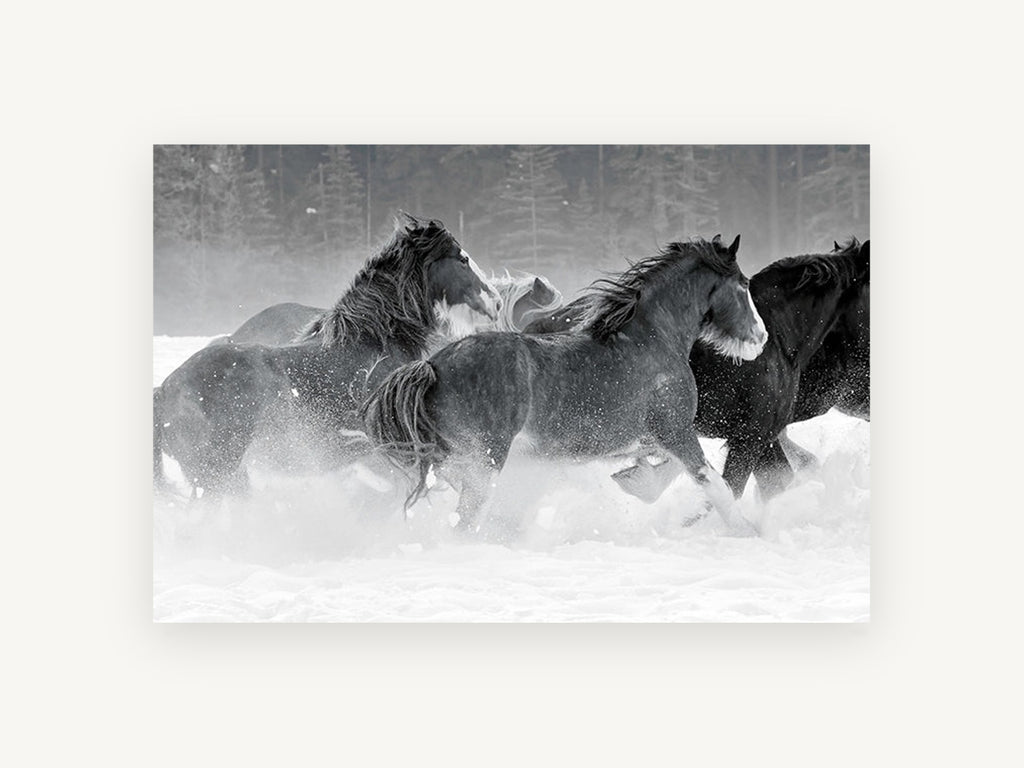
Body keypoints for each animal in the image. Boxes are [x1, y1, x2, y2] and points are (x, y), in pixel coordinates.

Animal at [360, 235, 769, 535]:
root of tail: (432, 366)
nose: (761, 337)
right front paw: (747, 531)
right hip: (485, 459)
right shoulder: (675, 429)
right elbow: (713, 483)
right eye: (743, 285)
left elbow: (668, 470)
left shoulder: (652, 437)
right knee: (465, 519)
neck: (653, 339)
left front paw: (638, 481)